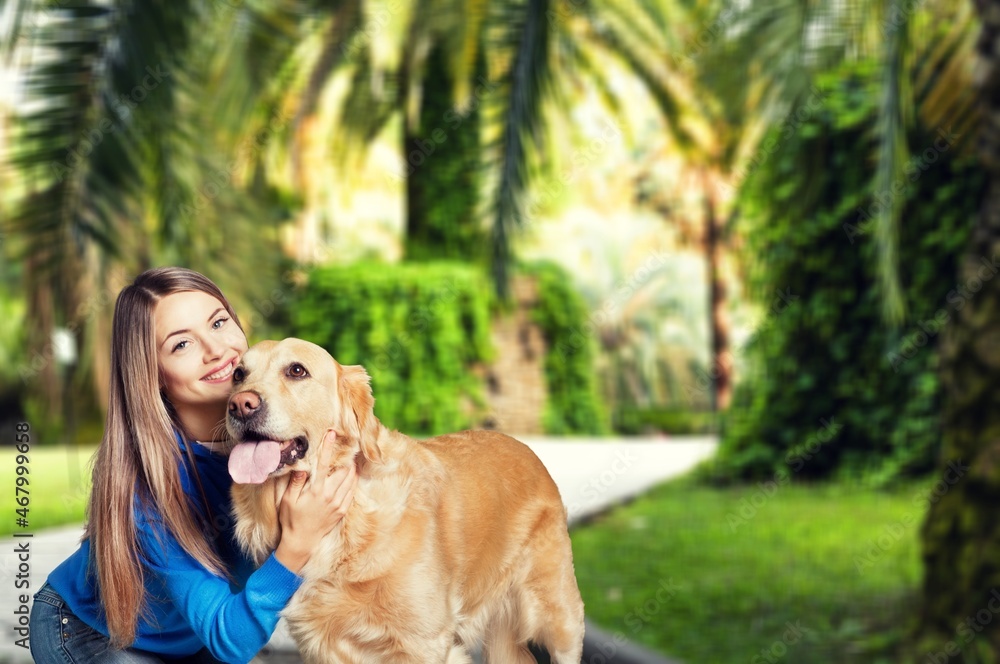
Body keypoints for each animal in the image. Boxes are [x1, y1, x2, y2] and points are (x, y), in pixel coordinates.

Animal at [225, 340, 584, 660]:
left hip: (559, 618)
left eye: (297, 370)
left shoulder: (426, 642)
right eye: (238, 374)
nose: (240, 404)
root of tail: (527, 449)